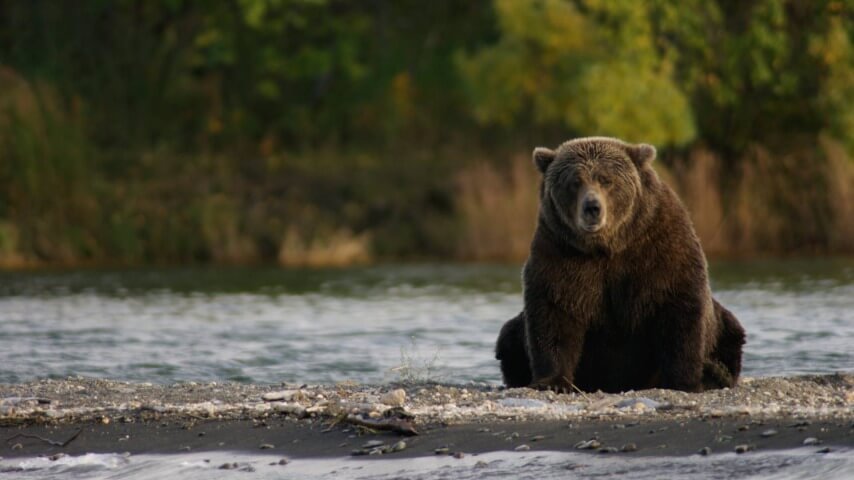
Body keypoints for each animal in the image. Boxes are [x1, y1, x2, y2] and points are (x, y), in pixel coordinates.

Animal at [495, 137, 745, 393]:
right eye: (575, 182)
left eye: (606, 179)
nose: (592, 207)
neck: (608, 246)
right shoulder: (560, 252)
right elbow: (554, 312)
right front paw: (552, 382)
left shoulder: (660, 247)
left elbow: (678, 310)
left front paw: (684, 381)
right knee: (509, 336)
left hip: (724, 328)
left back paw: (714, 373)